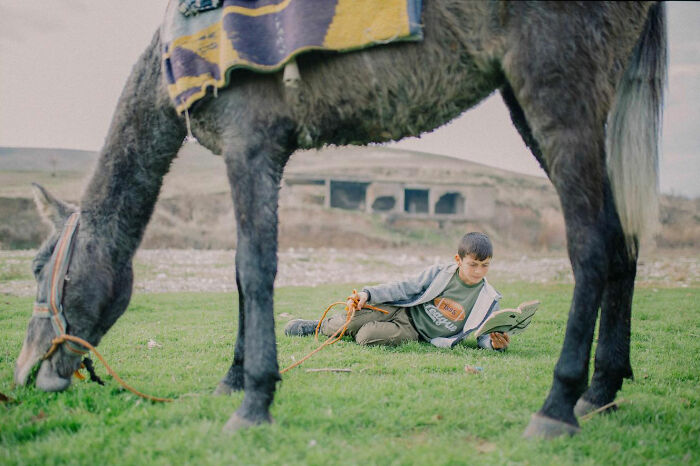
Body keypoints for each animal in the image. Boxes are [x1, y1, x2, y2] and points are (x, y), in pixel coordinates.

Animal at [14, 1, 666, 437]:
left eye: (41, 268)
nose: (27, 374)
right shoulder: (267, 157)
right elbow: (242, 273)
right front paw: (234, 379)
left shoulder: (250, 145)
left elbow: (253, 269)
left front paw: (253, 402)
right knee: (623, 245)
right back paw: (601, 391)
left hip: (559, 92)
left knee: (592, 248)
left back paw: (557, 407)